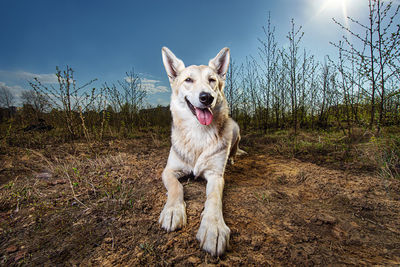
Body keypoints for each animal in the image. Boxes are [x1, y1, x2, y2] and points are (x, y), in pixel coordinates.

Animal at [159, 46, 244, 258]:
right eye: (188, 80)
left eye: (212, 80)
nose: (207, 97)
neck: (199, 133)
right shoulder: (168, 171)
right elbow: (176, 187)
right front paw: (173, 211)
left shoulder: (215, 176)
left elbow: (213, 199)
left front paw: (213, 228)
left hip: (235, 128)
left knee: (234, 149)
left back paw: (232, 159)